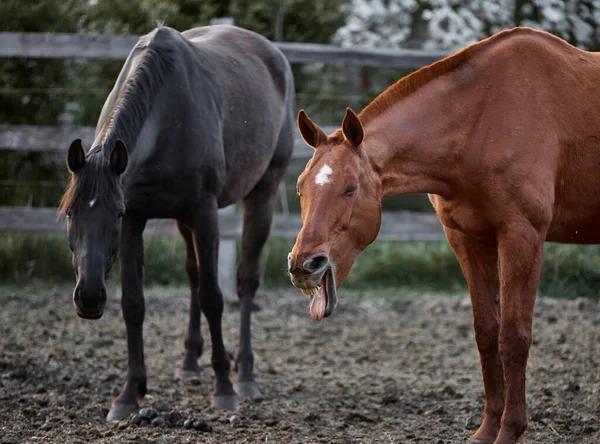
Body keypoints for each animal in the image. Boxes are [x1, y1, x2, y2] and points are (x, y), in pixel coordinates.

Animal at [58, 26, 296, 422]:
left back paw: (245, 375)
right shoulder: (139, 219)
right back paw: (189, 364)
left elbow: (213, 297)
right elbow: (134, 303)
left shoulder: (202, 212)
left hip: (262, 193)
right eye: (70, 212)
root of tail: (274, 55)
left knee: (245, 282)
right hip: (184, 220)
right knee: (194, 274)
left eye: (115, 213)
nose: (89, 297)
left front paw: (224, 388)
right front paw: (129, 394)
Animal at [288, 26, 600, 442]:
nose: (303, 265)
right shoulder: (467, 238)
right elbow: (486, 333)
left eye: (350, 188)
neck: (480, 120)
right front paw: (488, 429)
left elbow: (514, 336)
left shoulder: (522, 235)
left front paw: (511, 429)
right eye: (300, 187)